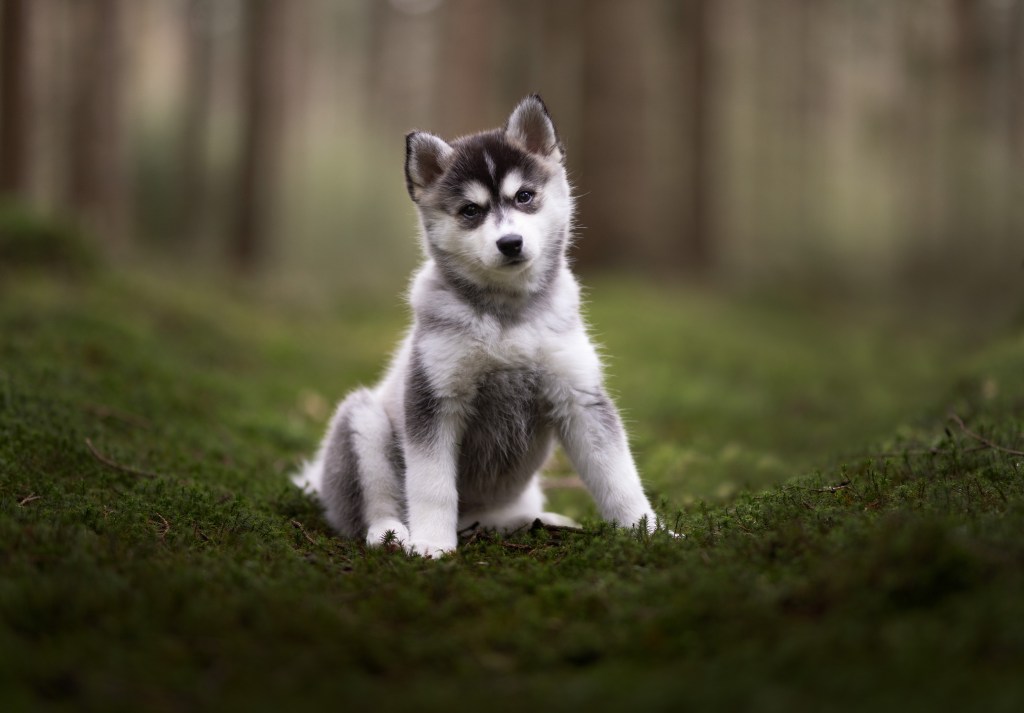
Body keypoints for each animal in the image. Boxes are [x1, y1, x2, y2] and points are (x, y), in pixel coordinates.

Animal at [292, 94, 659, 557]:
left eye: (524, 196)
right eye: (470, 210)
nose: (510, 243)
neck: (506, 315)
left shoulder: (580, 397)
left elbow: (619, 478)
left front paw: (651, 533)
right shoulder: (434, 399)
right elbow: (432, 485)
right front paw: (431, 545)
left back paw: (534, 521)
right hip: (363, 422)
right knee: (374, 504)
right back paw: (390, 534)